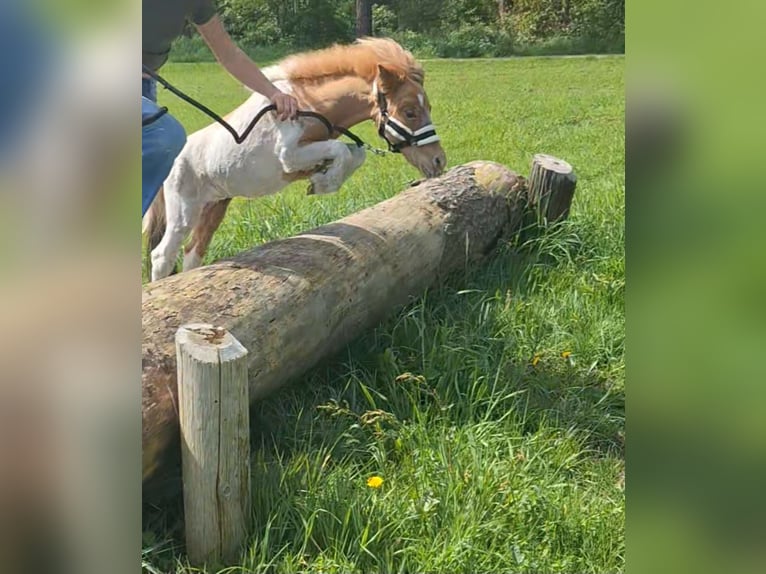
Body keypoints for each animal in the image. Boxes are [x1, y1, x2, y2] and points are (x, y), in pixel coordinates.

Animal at [142, 37, 450, 282]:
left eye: (429, 106)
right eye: (409, 111)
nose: (439, 161)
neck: (307, 106)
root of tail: (176, 156)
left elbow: (354, 153)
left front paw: (320, 178)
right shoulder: (289, 156)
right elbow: (339, 151)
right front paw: (321, 183)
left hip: (214, 207)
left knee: (193, 252)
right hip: (184, 210)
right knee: (162, 255)